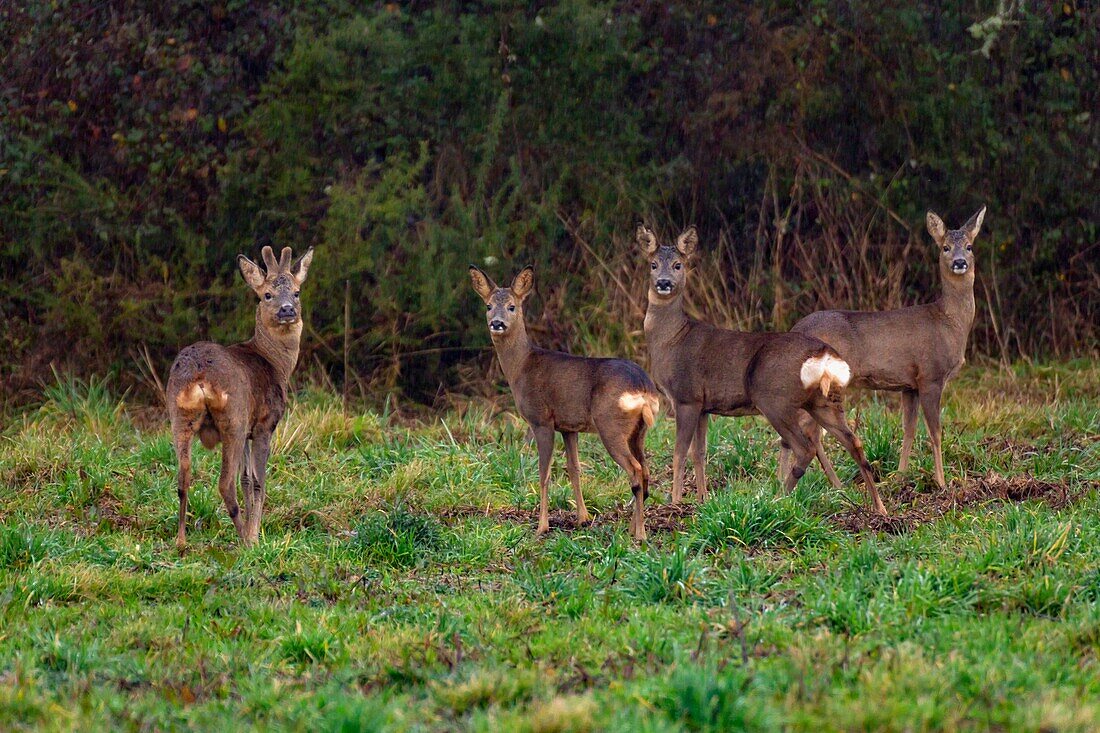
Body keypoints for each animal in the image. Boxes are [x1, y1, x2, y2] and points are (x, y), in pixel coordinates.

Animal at [166, 245, 314, 548]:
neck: (275, 364)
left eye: (296, 292)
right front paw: (256, 535)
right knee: (225, 484)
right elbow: (258, 482)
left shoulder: (248, 429)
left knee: (182, 478)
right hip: (232, 418)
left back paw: (181, 541)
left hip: (179, 416)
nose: (287, 310)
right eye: (267, 294)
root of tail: (199, 375)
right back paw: (244, 539)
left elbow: (246, 479)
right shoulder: (264, 424)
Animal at [466, 263, 655, 537]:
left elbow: (543, 473)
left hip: (610, 424)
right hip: (638, 431)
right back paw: (633, 527)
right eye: (488, 306)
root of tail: (643, 386)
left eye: (512, 306)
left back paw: (639, 533)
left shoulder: (541, 420)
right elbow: (573, 468)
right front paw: (582, 519)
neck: (521, 366)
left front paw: (541, 526)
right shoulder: (568, 426)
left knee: (636, 470)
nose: (497, 323)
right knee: (645, 470)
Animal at [638, 222, 884, 512]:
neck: (672, 340)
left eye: (678, 265)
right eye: (653, 264)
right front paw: (702, 499)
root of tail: (824, 355)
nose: (664, 283)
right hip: (824, 401)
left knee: (804, 447)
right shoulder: (703, 404)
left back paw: (778, 498)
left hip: (773, 397)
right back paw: (879, 508)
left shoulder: (686, 396)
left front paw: (676, 502)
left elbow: (679, 452)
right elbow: (699, 452)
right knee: (853, 442)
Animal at [783, 205, 990, 488]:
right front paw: (942, 483)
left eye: (969, 246)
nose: (960, 262)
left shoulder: (910, 384)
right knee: (809, 430)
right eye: (945, 247)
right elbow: (935, 432)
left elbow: (909, 429)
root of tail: (795, 329)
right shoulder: (931, 375)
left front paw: (900, 477)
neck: (949, 323)